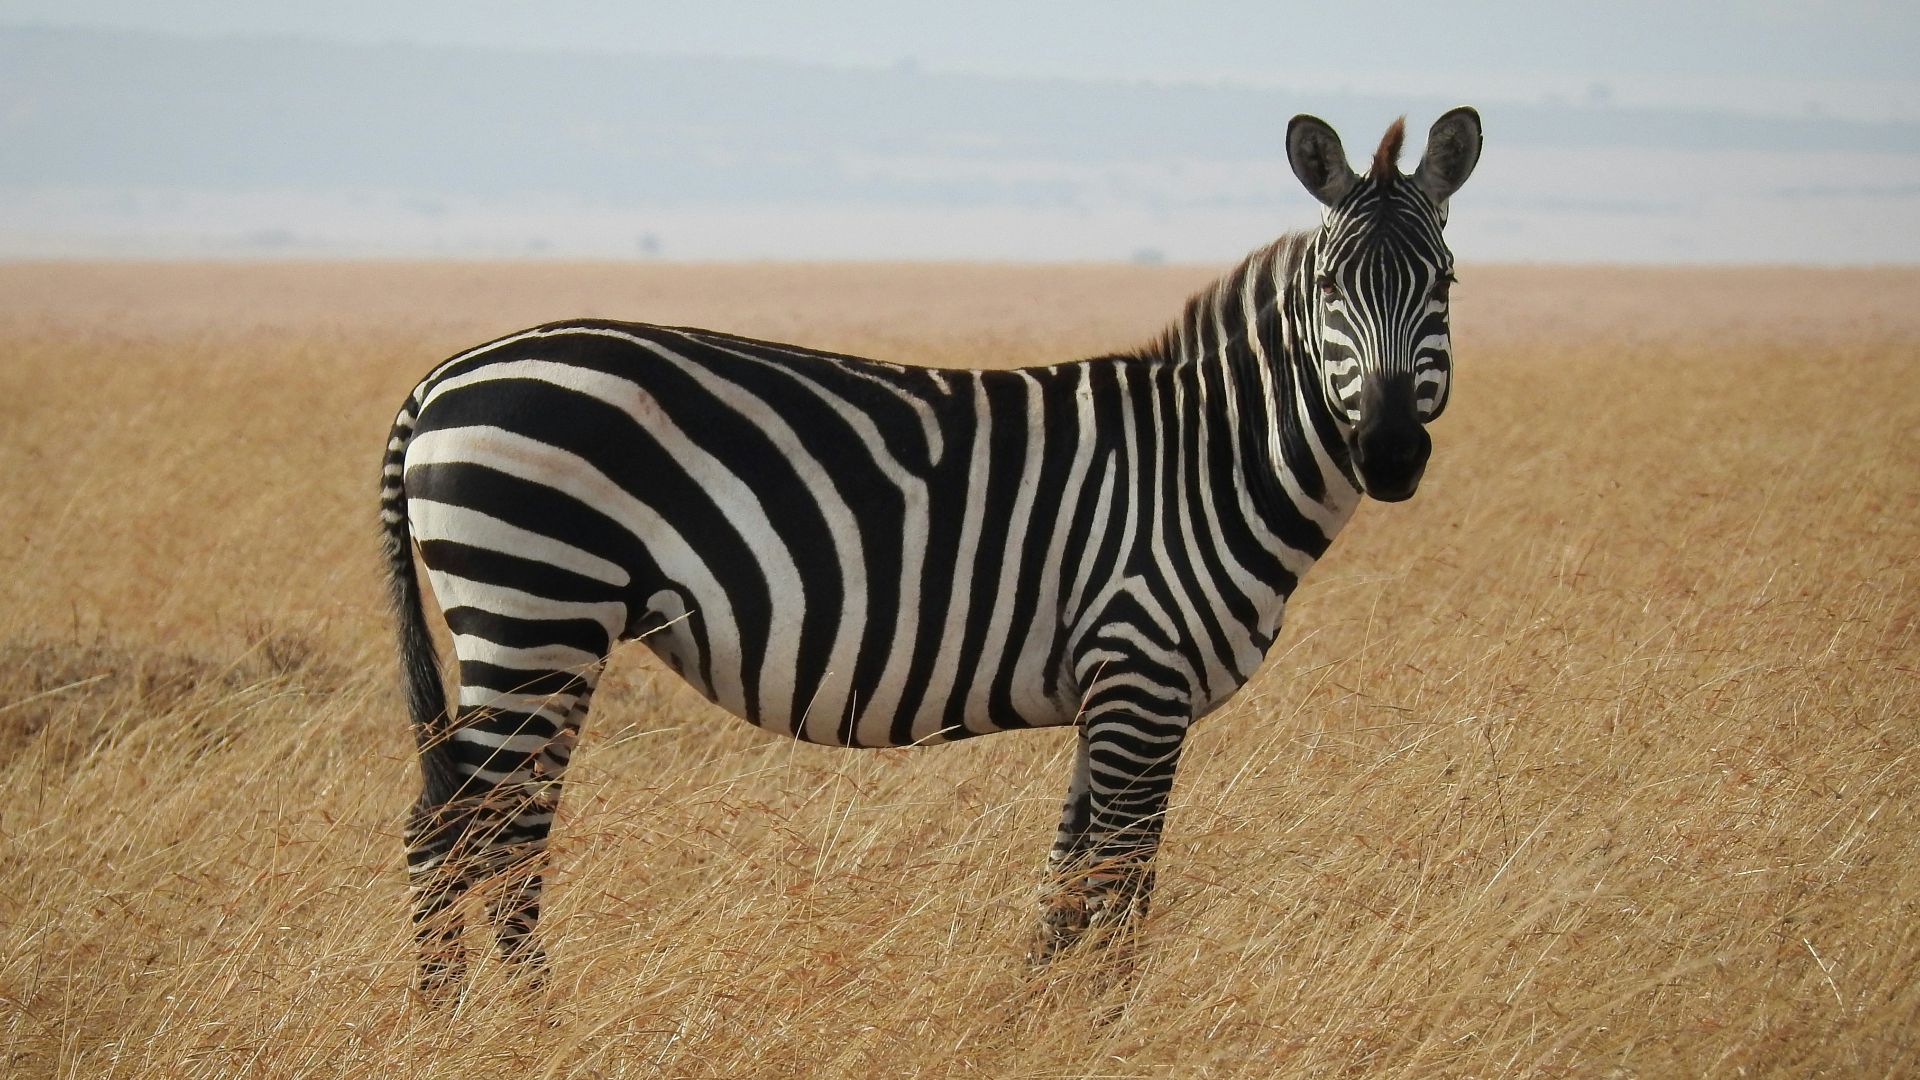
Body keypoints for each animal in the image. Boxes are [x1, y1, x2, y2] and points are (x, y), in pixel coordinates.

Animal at [381, 108, 1482, 994]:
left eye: (1446, 283)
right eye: (1332, 288)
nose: (1390, 453)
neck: (1207, 461)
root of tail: (442, 376)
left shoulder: (1108, 690)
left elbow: (1065, 888)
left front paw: (1034, 1022)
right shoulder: (1142, 674)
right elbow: (1122, 887)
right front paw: (1110, 1026)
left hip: (548, 631)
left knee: (498, 832)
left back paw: (509, 1017)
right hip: (535, 608)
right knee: (457, 834)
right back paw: (482, 1026)